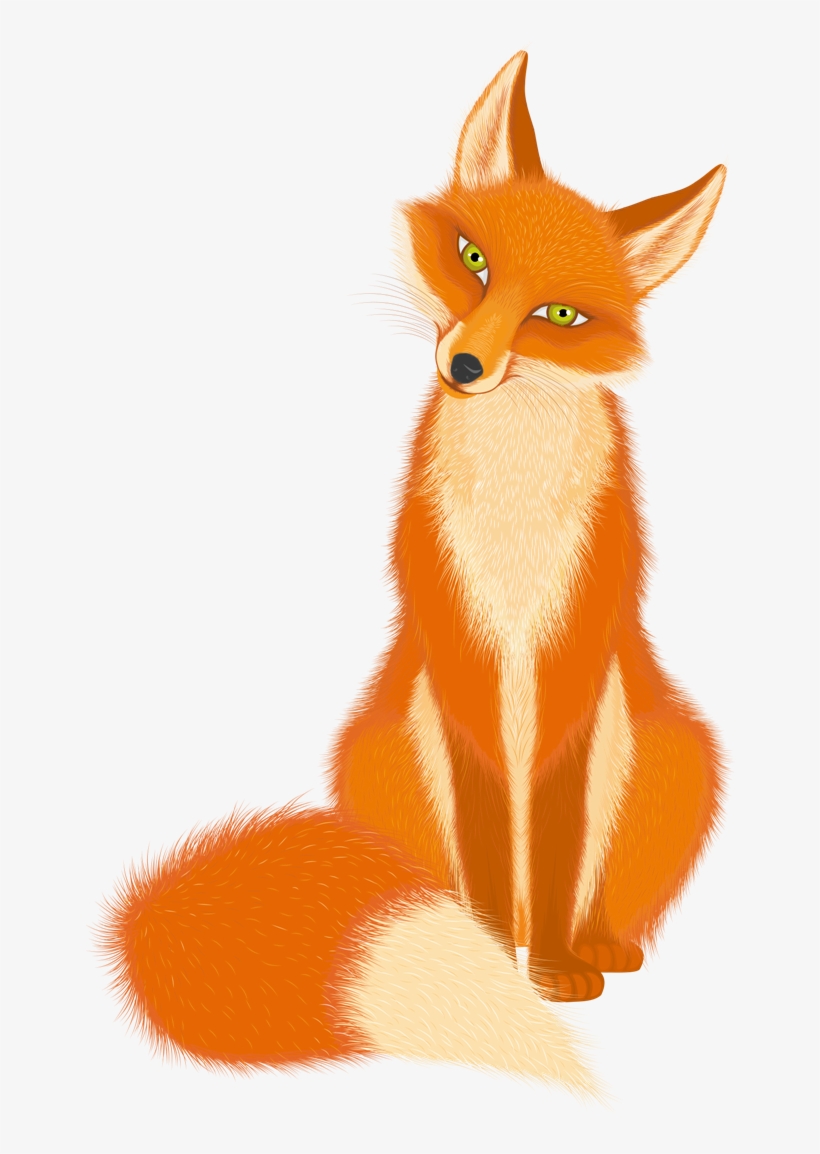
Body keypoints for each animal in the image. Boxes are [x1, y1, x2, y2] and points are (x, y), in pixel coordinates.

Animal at [99, 51, 726, 1096]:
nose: (466, 365)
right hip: (382, 742)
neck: (512, 514)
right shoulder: (458, 644)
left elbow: (555, 840)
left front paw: (554, 971)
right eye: (472, 259)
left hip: (674, 748)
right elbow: (484, 835)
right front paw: (492, 957)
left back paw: (585, 944)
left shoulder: (572, 655)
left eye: (559, 314)